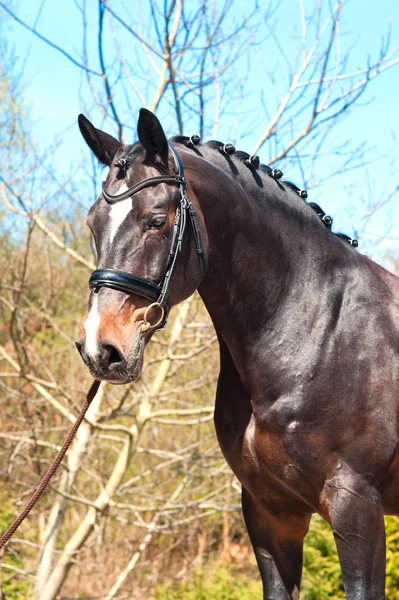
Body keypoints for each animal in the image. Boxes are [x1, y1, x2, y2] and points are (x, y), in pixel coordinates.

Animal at [75, 108, 399, 600]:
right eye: (94, 224)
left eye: (157, 220)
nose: (100, 347)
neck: (313, 331)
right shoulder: (270, 513)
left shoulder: (357, 505)